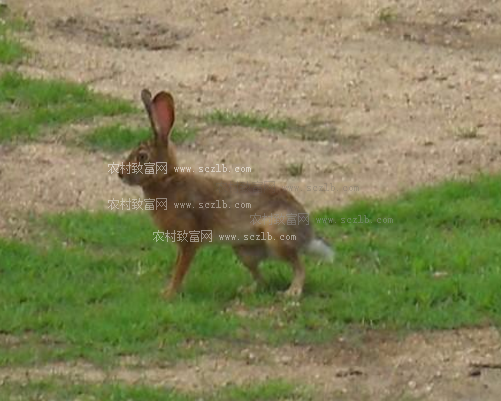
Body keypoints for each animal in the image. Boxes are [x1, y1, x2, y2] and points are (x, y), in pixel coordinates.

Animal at [118, 89, 334, 298]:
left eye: (142, 157)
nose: (120, 173)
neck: (165, 180)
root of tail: (308, 234)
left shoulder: (189, 240)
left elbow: (180, 269)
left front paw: (169, 294)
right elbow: (177, 265)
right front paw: (166, 292)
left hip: (276, 236)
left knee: (299, 266)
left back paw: (292, 293)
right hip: (243, 250)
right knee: (262, 280)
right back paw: (246, 290)